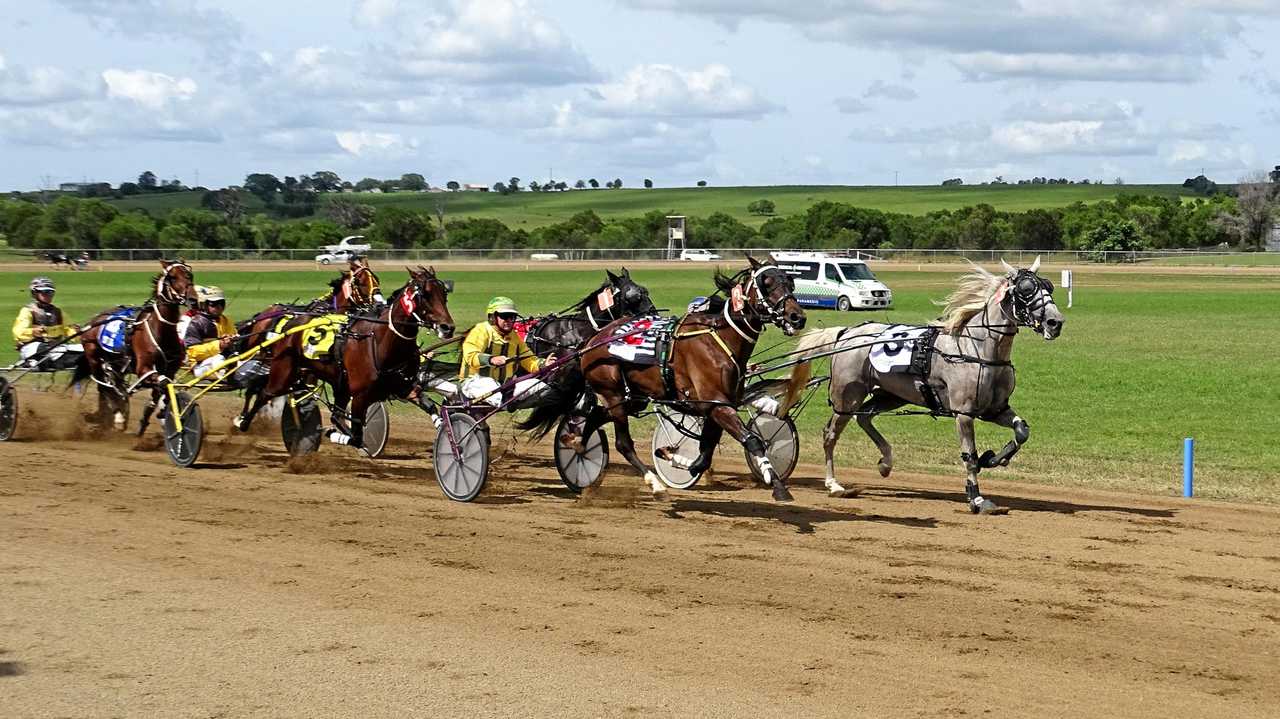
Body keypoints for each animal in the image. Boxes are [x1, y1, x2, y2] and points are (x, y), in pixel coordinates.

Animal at [71, 259, 197, 434]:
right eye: (172, 277)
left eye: (190, 275)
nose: (193, 299)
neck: (161, 329)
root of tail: (92, 322)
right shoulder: (144, 368)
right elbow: (162, 384)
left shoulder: (170, 370)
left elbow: (160, 391)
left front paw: (151, 419)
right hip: (94, 358)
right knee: (104, 387)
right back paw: (116, 416)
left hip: (117, 365)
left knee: (111, 386)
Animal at [235, 266, 455, 450]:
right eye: (425, 294)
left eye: (444, 293)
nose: (448, 327)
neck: (382, 340)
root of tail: (290, 323)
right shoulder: (360, 395)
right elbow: (355, 436)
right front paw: (332, 433)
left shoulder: (403, 386)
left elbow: (429, 405)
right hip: (282, 372)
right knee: (263, 393)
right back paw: (242, 421)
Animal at [522, 255, 803, 498]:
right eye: (766, 283)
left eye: (790, 281)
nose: (797, 317)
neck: (719, 339)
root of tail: (590, 342)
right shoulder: (716, 406)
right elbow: (752, 441)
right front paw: (779, 487)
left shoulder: (717, 405)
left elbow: (704, 455)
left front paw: (673, 457)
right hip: (613, 392)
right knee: (623, 443)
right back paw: (653, 482)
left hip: (632, 398)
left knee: (594, 418)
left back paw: (577, 444)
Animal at [773, 254, 1064, 511]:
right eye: (1026, 289)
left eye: (1049, 286)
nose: (1056, 322)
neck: (978, 349)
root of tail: (846, 333)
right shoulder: (963, 413)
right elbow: (969, 457)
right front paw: (977, 498)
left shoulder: (995, 409)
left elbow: (1021, 431)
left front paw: (992, 458)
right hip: (847, 396)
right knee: (831, 433)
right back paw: (833, 484)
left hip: (890, 394)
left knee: (865, 417)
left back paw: (886, 462)